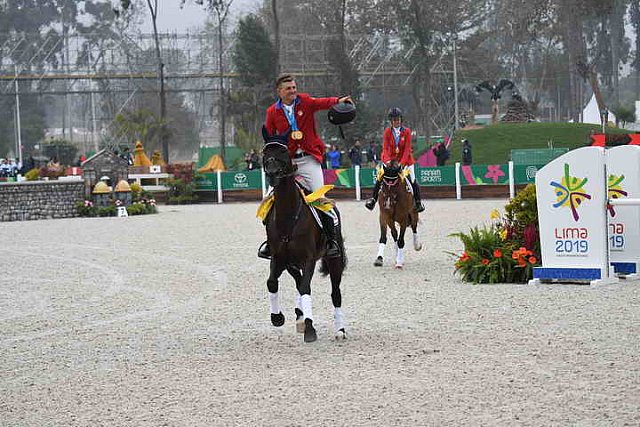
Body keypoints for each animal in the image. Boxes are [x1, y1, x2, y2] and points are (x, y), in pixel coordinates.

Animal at [262, 128, 348, 344]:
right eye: (265, 152)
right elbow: (272, 282)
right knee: (298, 280)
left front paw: (310, 329)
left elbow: (305, 288)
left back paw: (340, 330)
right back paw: (299, 315)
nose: (272, 174)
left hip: (334, 261)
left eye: (283, 152)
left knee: (335, 294)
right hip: (291, 263)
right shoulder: (278, 258)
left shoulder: (308, 259)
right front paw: (277, 317)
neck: (288, 215)